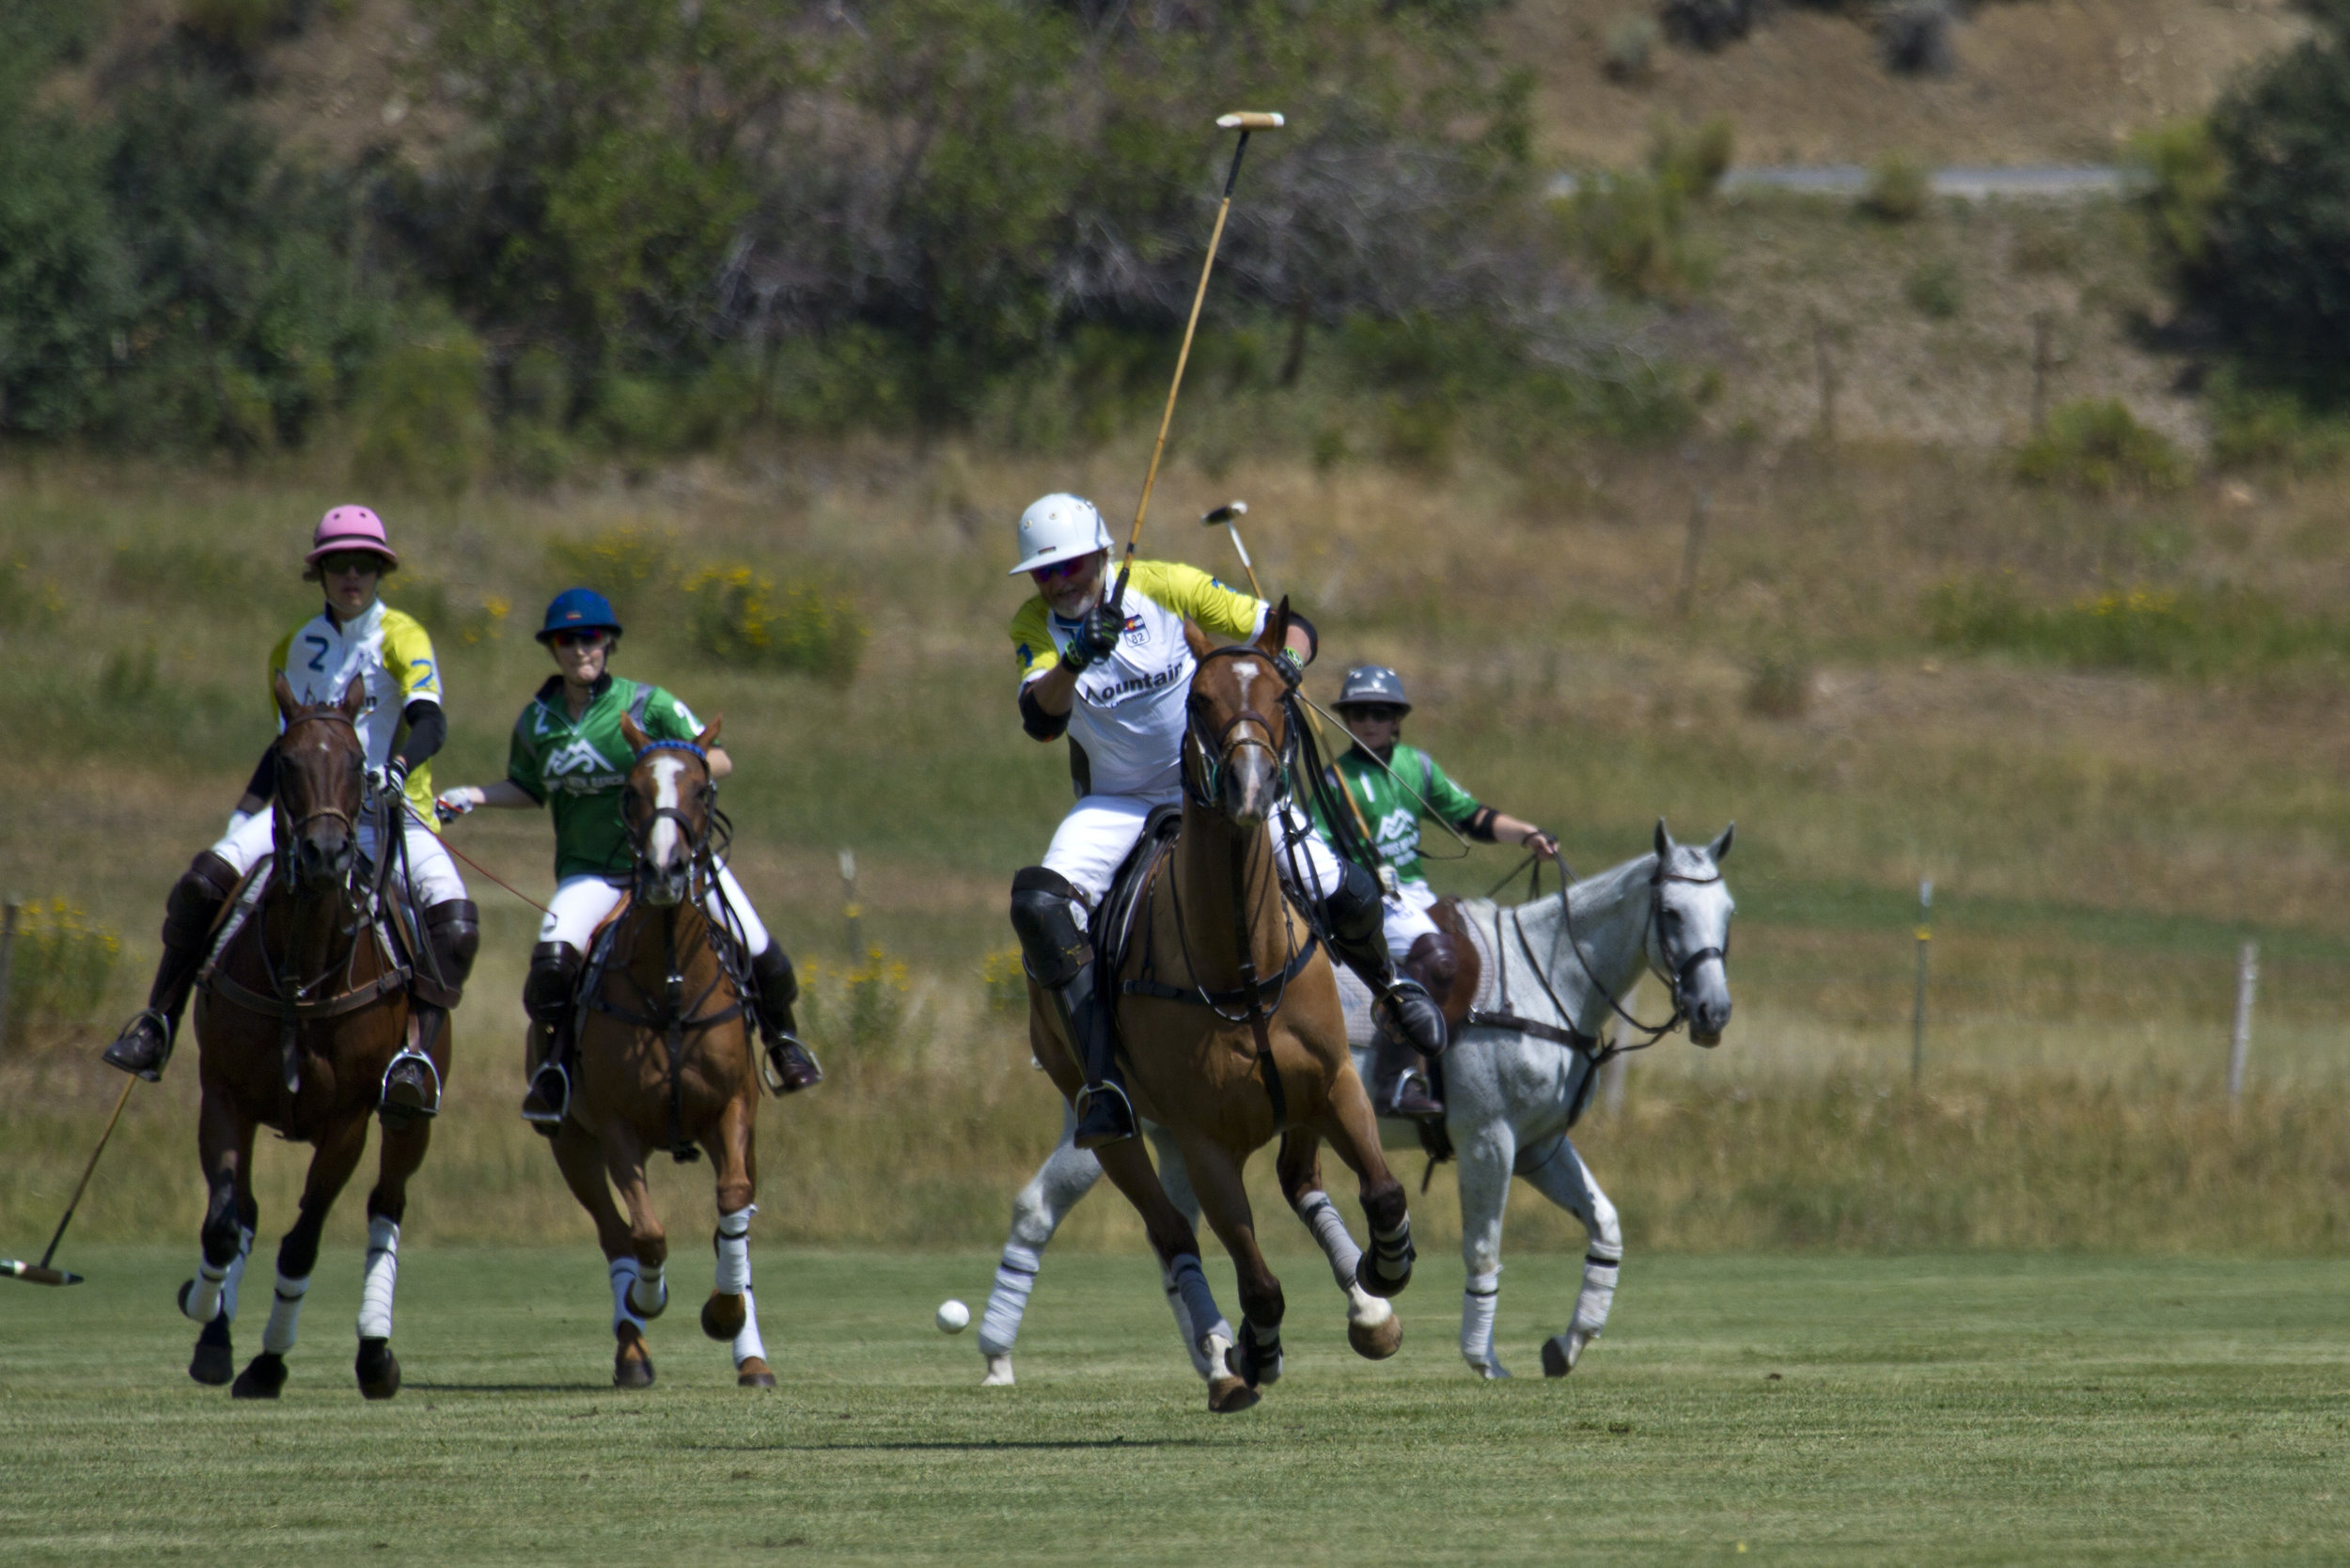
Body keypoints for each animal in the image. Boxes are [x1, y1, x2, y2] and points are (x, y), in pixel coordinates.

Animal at [180, 677, 451, 1401]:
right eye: (285, 762)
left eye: (359, 764)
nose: (327, 856)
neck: (301, 972)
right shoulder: (225, 1097)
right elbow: (223, 1225)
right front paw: (205, 1313)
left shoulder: (348, 1120)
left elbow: (302, 1241)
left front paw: (269, 1362)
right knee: (243, 1212)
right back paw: (216, 1334)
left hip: (410, 1115)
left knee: (387, 1204)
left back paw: (375, 1354)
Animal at [545, 710, 776, 1382]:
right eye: (631, 791)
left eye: (702, 788)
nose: (665, 873)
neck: (672, 979)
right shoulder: (614, 1125)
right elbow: (646, 1234)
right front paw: (651, 1298)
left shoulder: (735, 1109)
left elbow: (733, 1206)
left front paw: (725, 1314)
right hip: (571, 1145)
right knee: (616, 1235)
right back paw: (632, 1349)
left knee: (737, 1221)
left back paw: (752, 1357)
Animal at [1025, 606, 1410, 1419]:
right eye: (1199, 702)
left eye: (1280, 696)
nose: (1252, 787)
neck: (1239, 958)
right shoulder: (1204, 1143)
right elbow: (1257, 1281)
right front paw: (1253, 1349)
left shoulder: (1335, 1085)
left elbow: (1385, 1191)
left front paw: (1385, 1271)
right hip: (1117, 1125)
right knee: (1171, 1234)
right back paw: (1221, 1366)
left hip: (1284, 1108)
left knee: (1301, 1181)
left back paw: (1369, 1311)